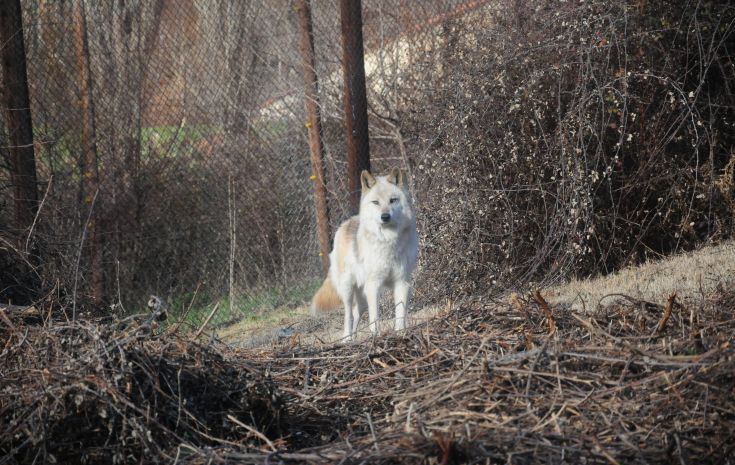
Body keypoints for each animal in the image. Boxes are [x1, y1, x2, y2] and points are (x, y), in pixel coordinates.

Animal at [310, 167, 420, 338]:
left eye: (393, 200)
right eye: (375, 202)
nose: (385, 216)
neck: (388, 241)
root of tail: (345, 223)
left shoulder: (402, 283)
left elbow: (400, 315)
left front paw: (400, 334)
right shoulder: (373, 285)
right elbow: (375, 318)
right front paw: (376, 337)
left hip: (362, 296)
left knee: (356, 313)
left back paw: (355, 338)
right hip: (348, 289)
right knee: (348, 314)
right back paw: (346, 339)